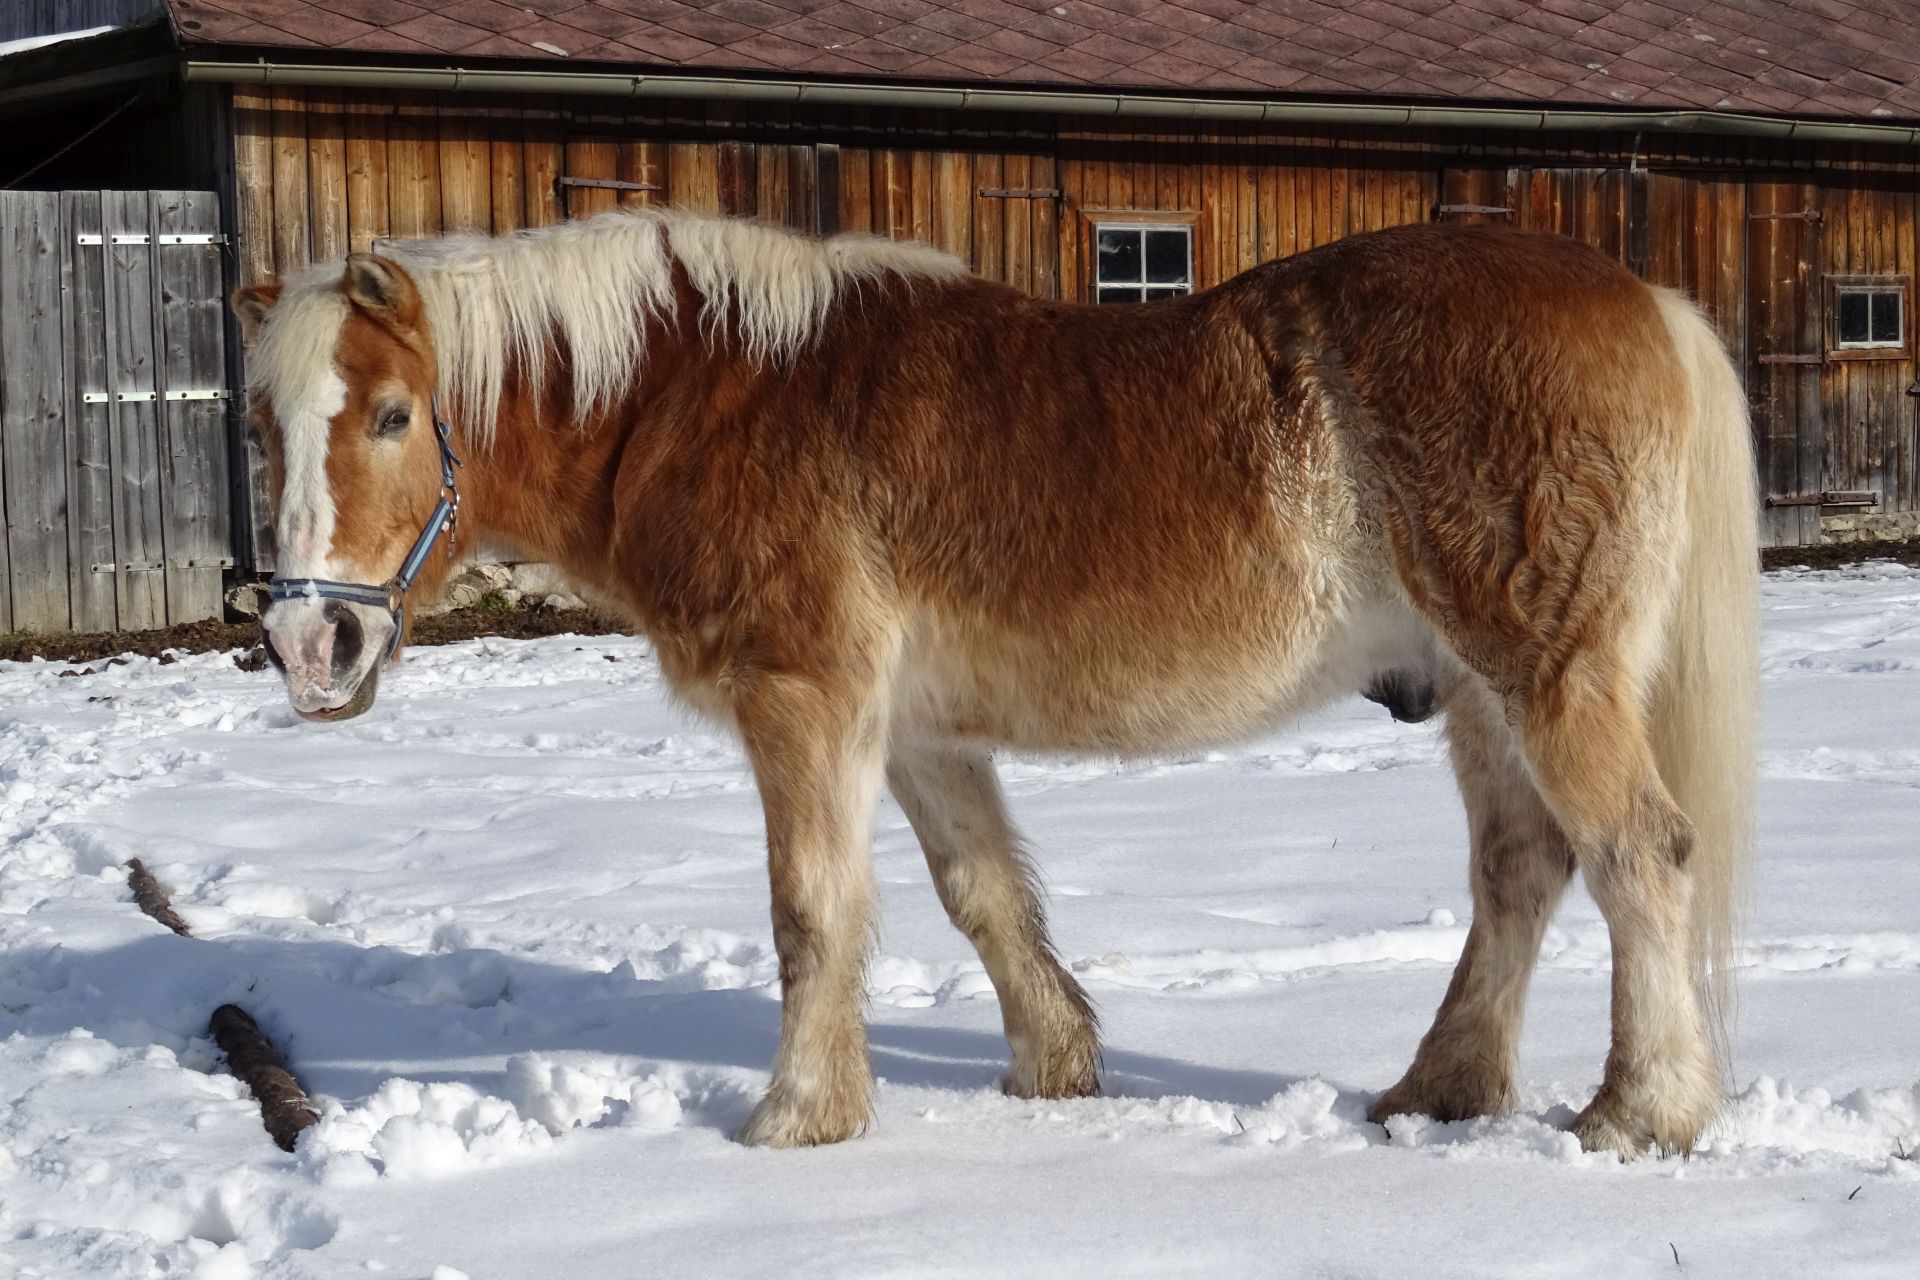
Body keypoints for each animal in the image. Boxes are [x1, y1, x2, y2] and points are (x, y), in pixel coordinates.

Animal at [232, 205, 1758, 1159]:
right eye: (263, 424)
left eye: (391, 415)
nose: (313, 648)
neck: (708, 399)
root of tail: (1649, 297)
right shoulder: (913, 731)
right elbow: (983, 897)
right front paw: (1055, 1071)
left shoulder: (807, 704)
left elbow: (811, 914)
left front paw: (798, 1116)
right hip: (1484, 696)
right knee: (1522, 868)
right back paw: (1440, 1091)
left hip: (1545, 674)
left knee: (1640, 854)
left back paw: (1641, 1113)